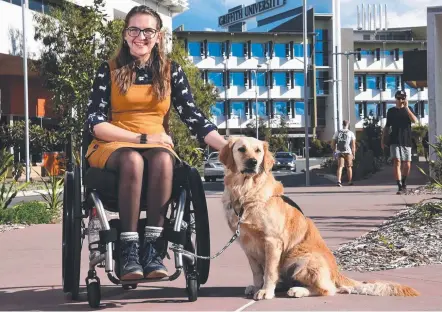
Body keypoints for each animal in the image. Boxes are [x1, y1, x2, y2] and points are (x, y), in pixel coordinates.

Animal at [219, 136, 420, 300]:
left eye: (258, 151)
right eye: (241, 149)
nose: (253, 162)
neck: (246, 193)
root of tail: (336, 272)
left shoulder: (272, 241)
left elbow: (269, 271)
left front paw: (266, 291)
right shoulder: (247, 244)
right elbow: (256, 272)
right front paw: (257, 287)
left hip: (302, 260)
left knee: (329, 289)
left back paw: (298, 290)